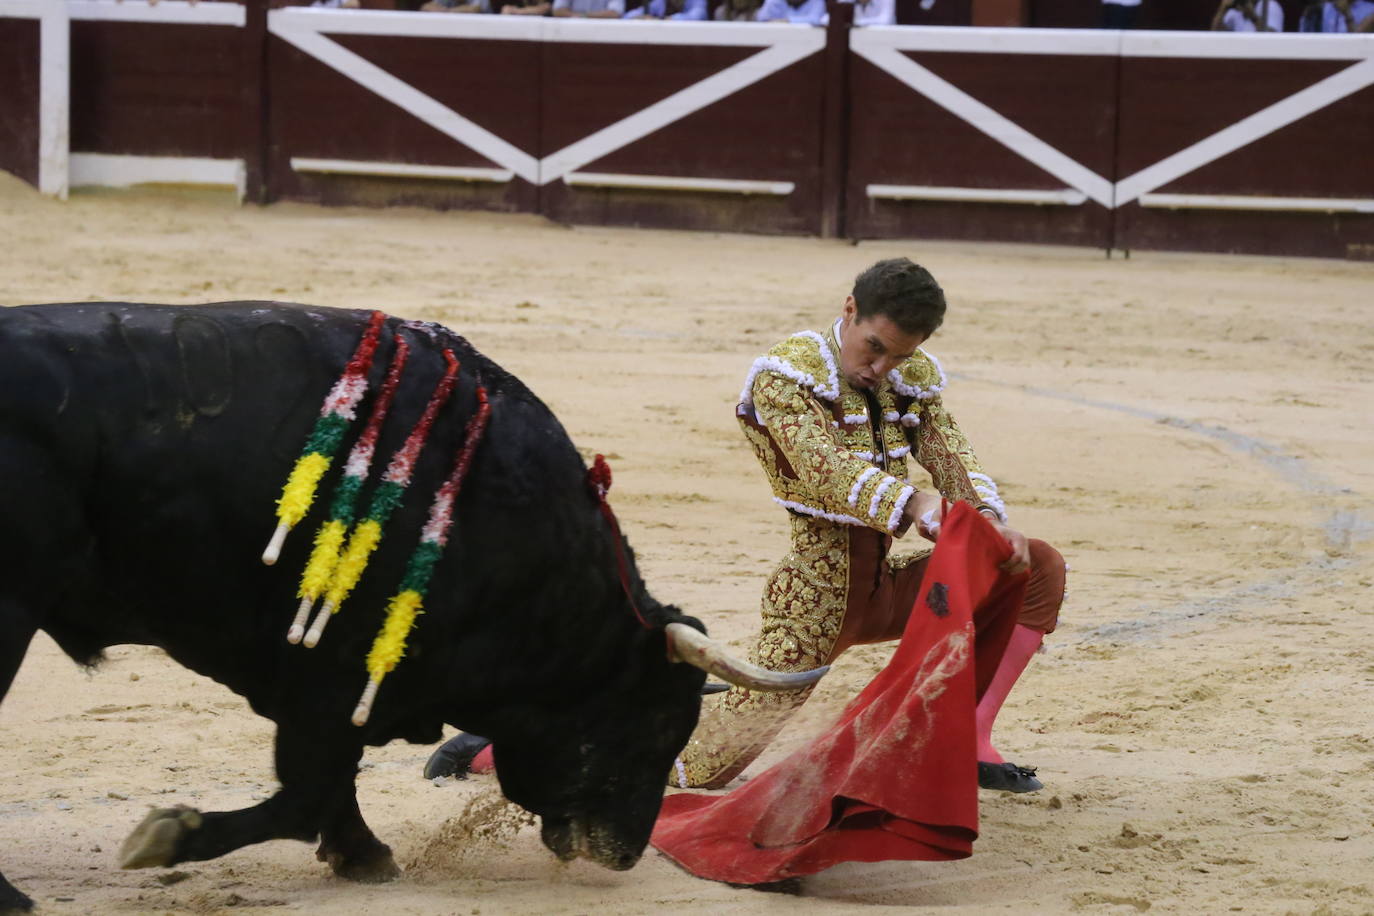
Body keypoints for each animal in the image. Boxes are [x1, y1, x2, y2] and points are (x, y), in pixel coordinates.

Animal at [0, 304, 818, 911]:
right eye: (653, 723)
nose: (624, 852)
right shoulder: (328, 676)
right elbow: (306, 792)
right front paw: (166, 837)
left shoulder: (330, 685)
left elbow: (330, 784)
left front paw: (362, 855)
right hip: (11, 612)